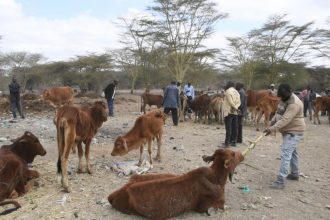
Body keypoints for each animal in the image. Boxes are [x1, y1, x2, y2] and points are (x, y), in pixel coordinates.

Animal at [107, 149, 244, 219]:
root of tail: (113, 195)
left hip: (134, 177)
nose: (242, 155)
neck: (216, 178)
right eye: (233, 154)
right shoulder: (206, 205)